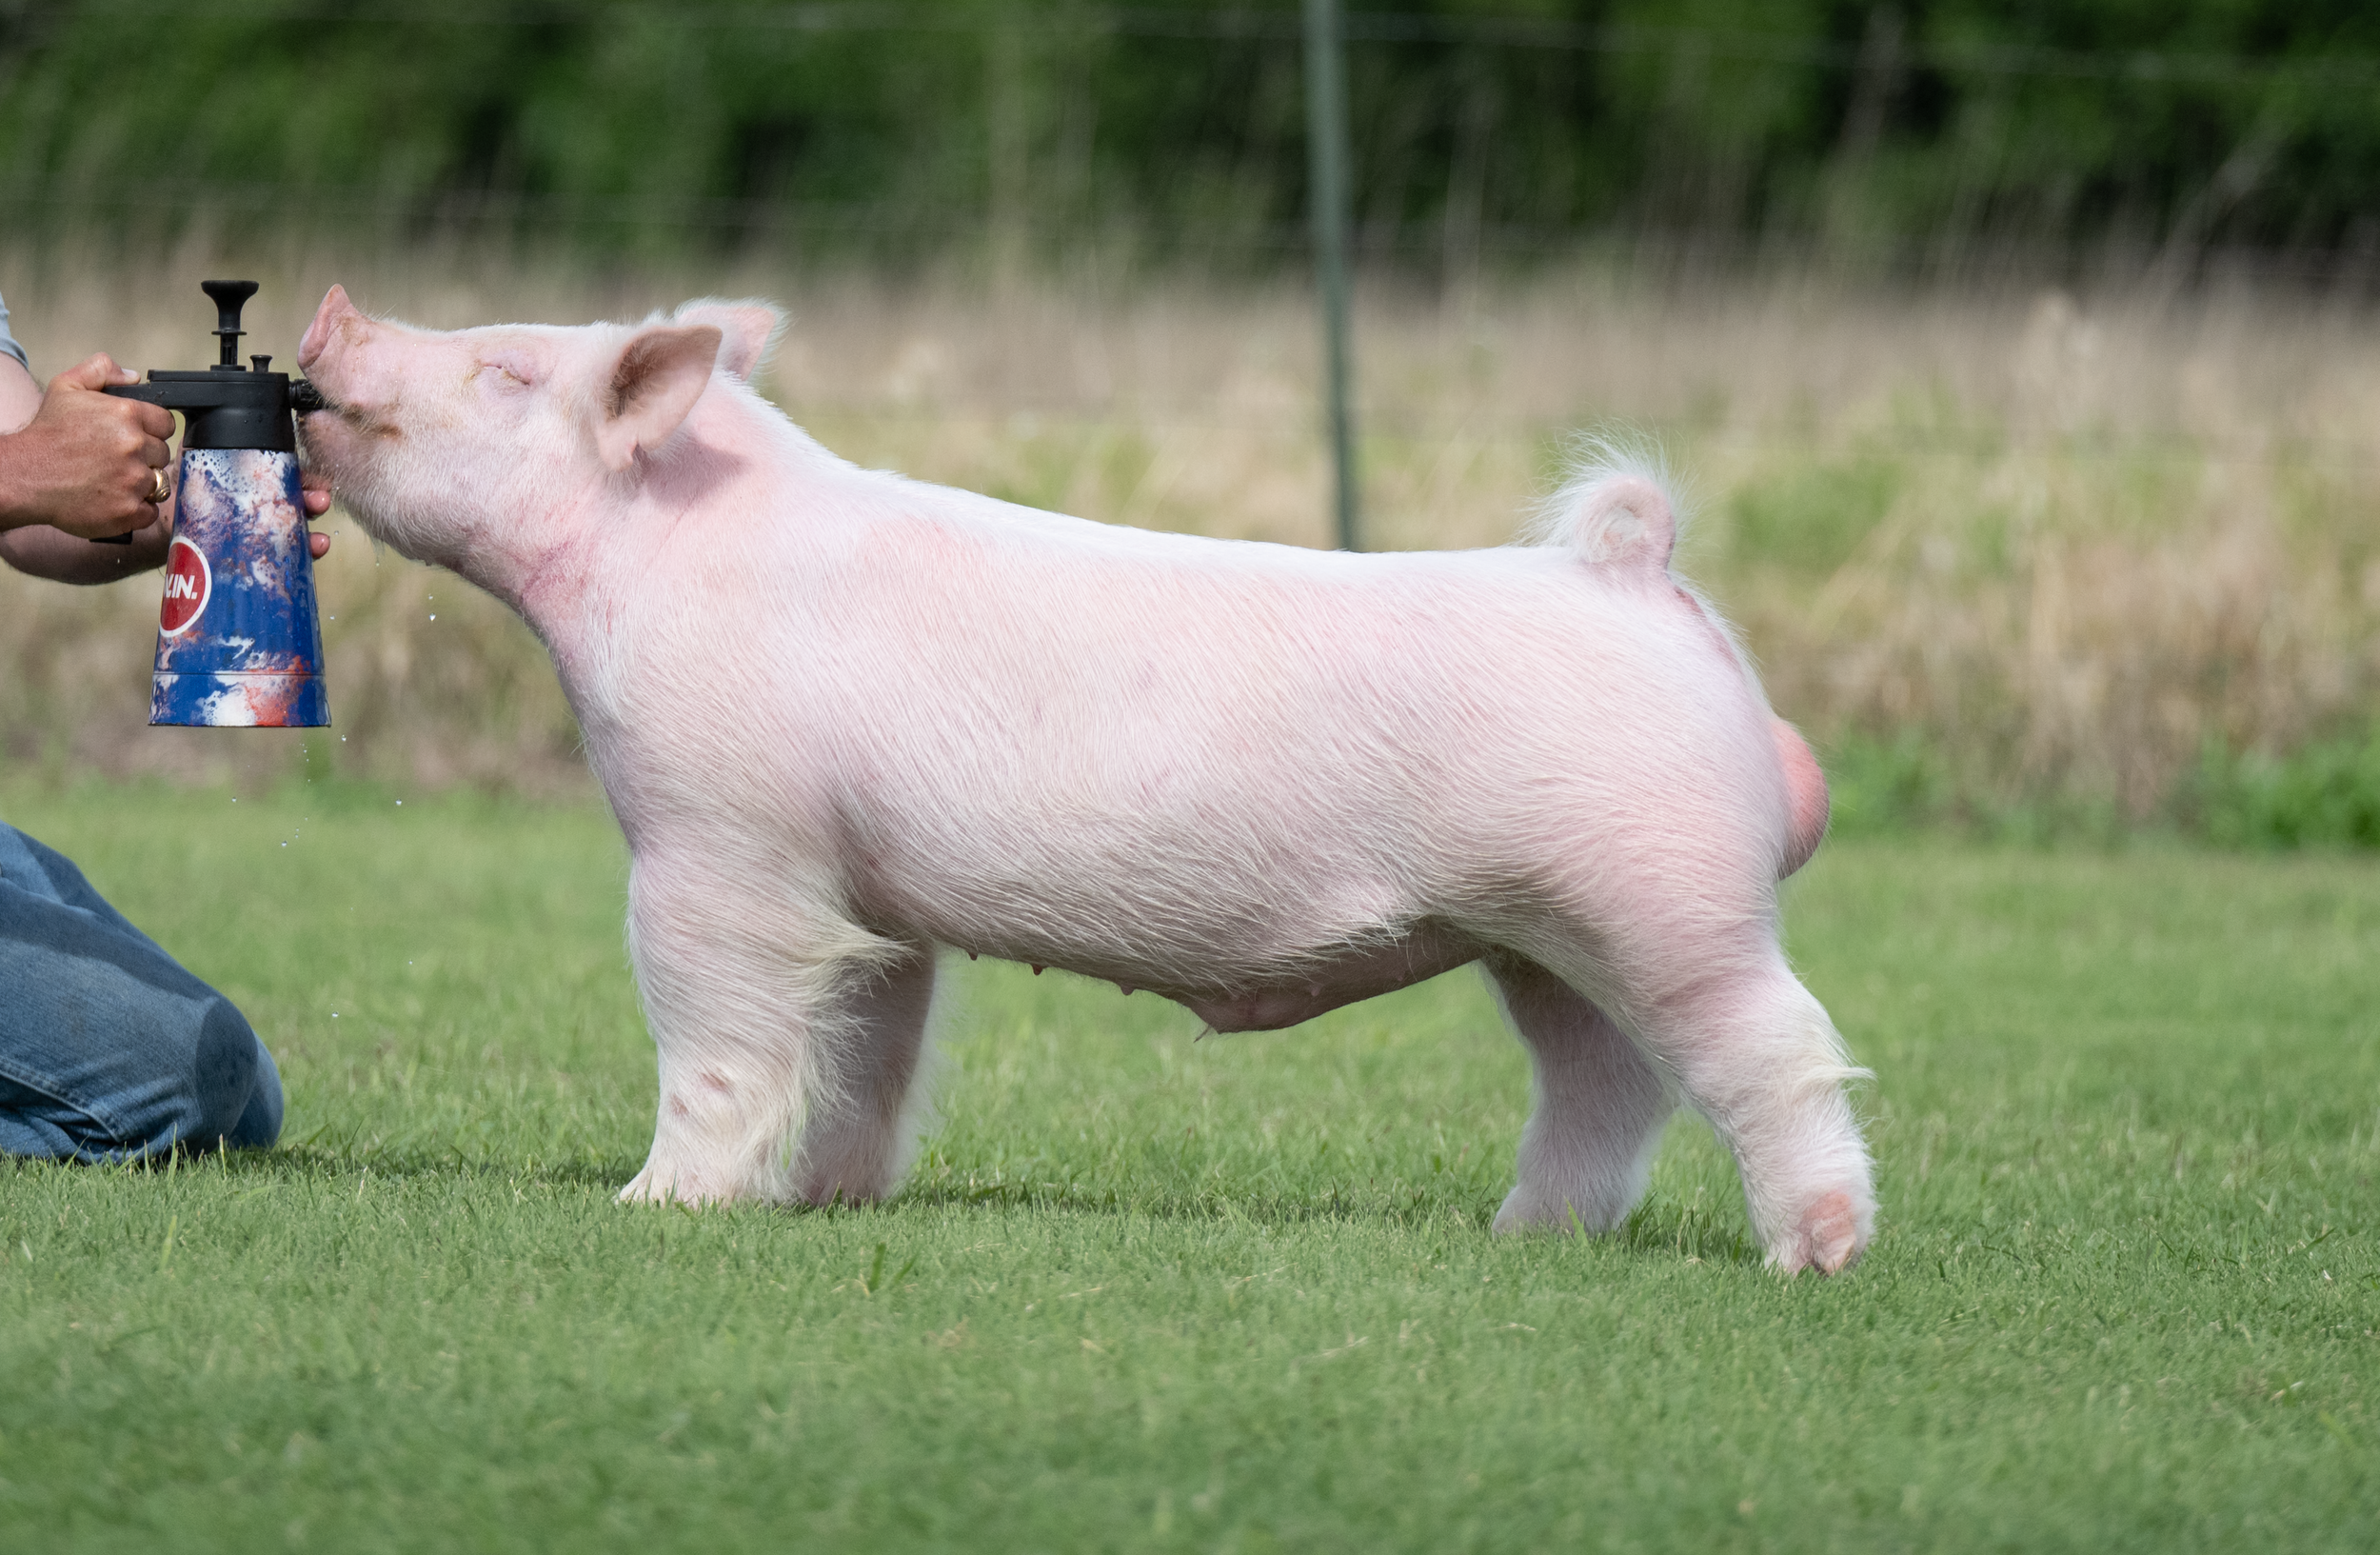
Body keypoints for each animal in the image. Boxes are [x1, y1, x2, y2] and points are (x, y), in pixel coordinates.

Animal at [295, 285, 1874, 1274]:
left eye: (507, 370)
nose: (334, 310)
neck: (669, 553)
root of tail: (1638, 571)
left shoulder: (716, 841)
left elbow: (717, 1028)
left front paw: (658, 1206)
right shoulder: (869, 894)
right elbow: (870, 1044)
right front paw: (828, 1200)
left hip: (1662, 894)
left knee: (1774, 1047)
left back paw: (1817, 1256)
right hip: (1537, 933)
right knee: (1607, 1082)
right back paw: (1521, 1238)